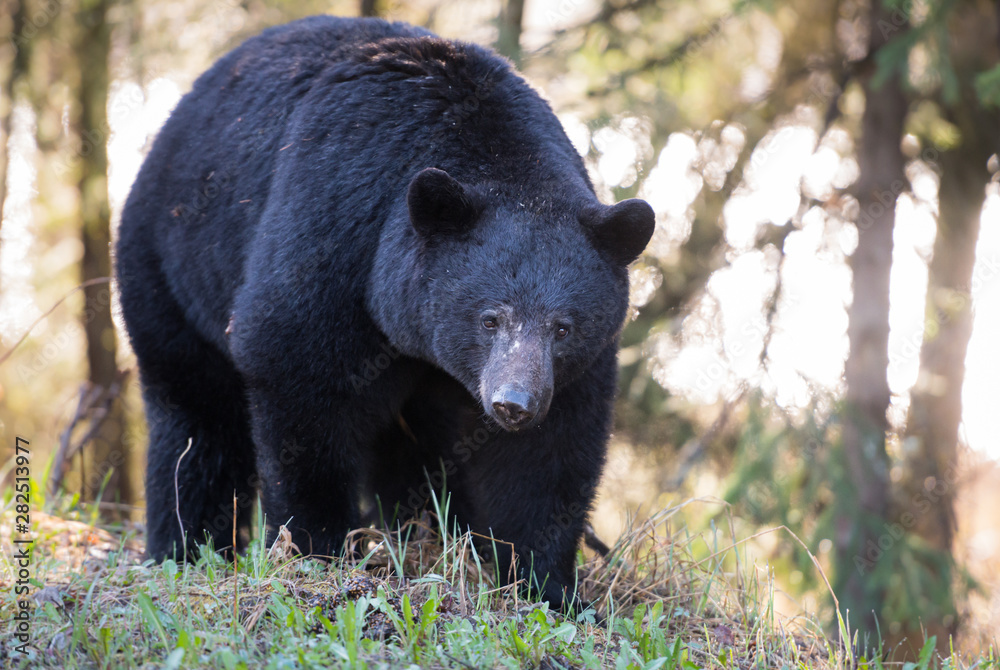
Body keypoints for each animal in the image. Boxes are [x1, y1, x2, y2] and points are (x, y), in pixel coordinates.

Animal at [115, 15, 654, 610]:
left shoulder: (574, 369)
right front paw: (316, 549)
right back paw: (183, 547)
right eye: (490, 318)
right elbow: (298, 378)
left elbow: (550, 453)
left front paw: (548, 586)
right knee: (197, 420)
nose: (514, 403)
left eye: (563, 328)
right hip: (170, 265)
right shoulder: (337, 228)